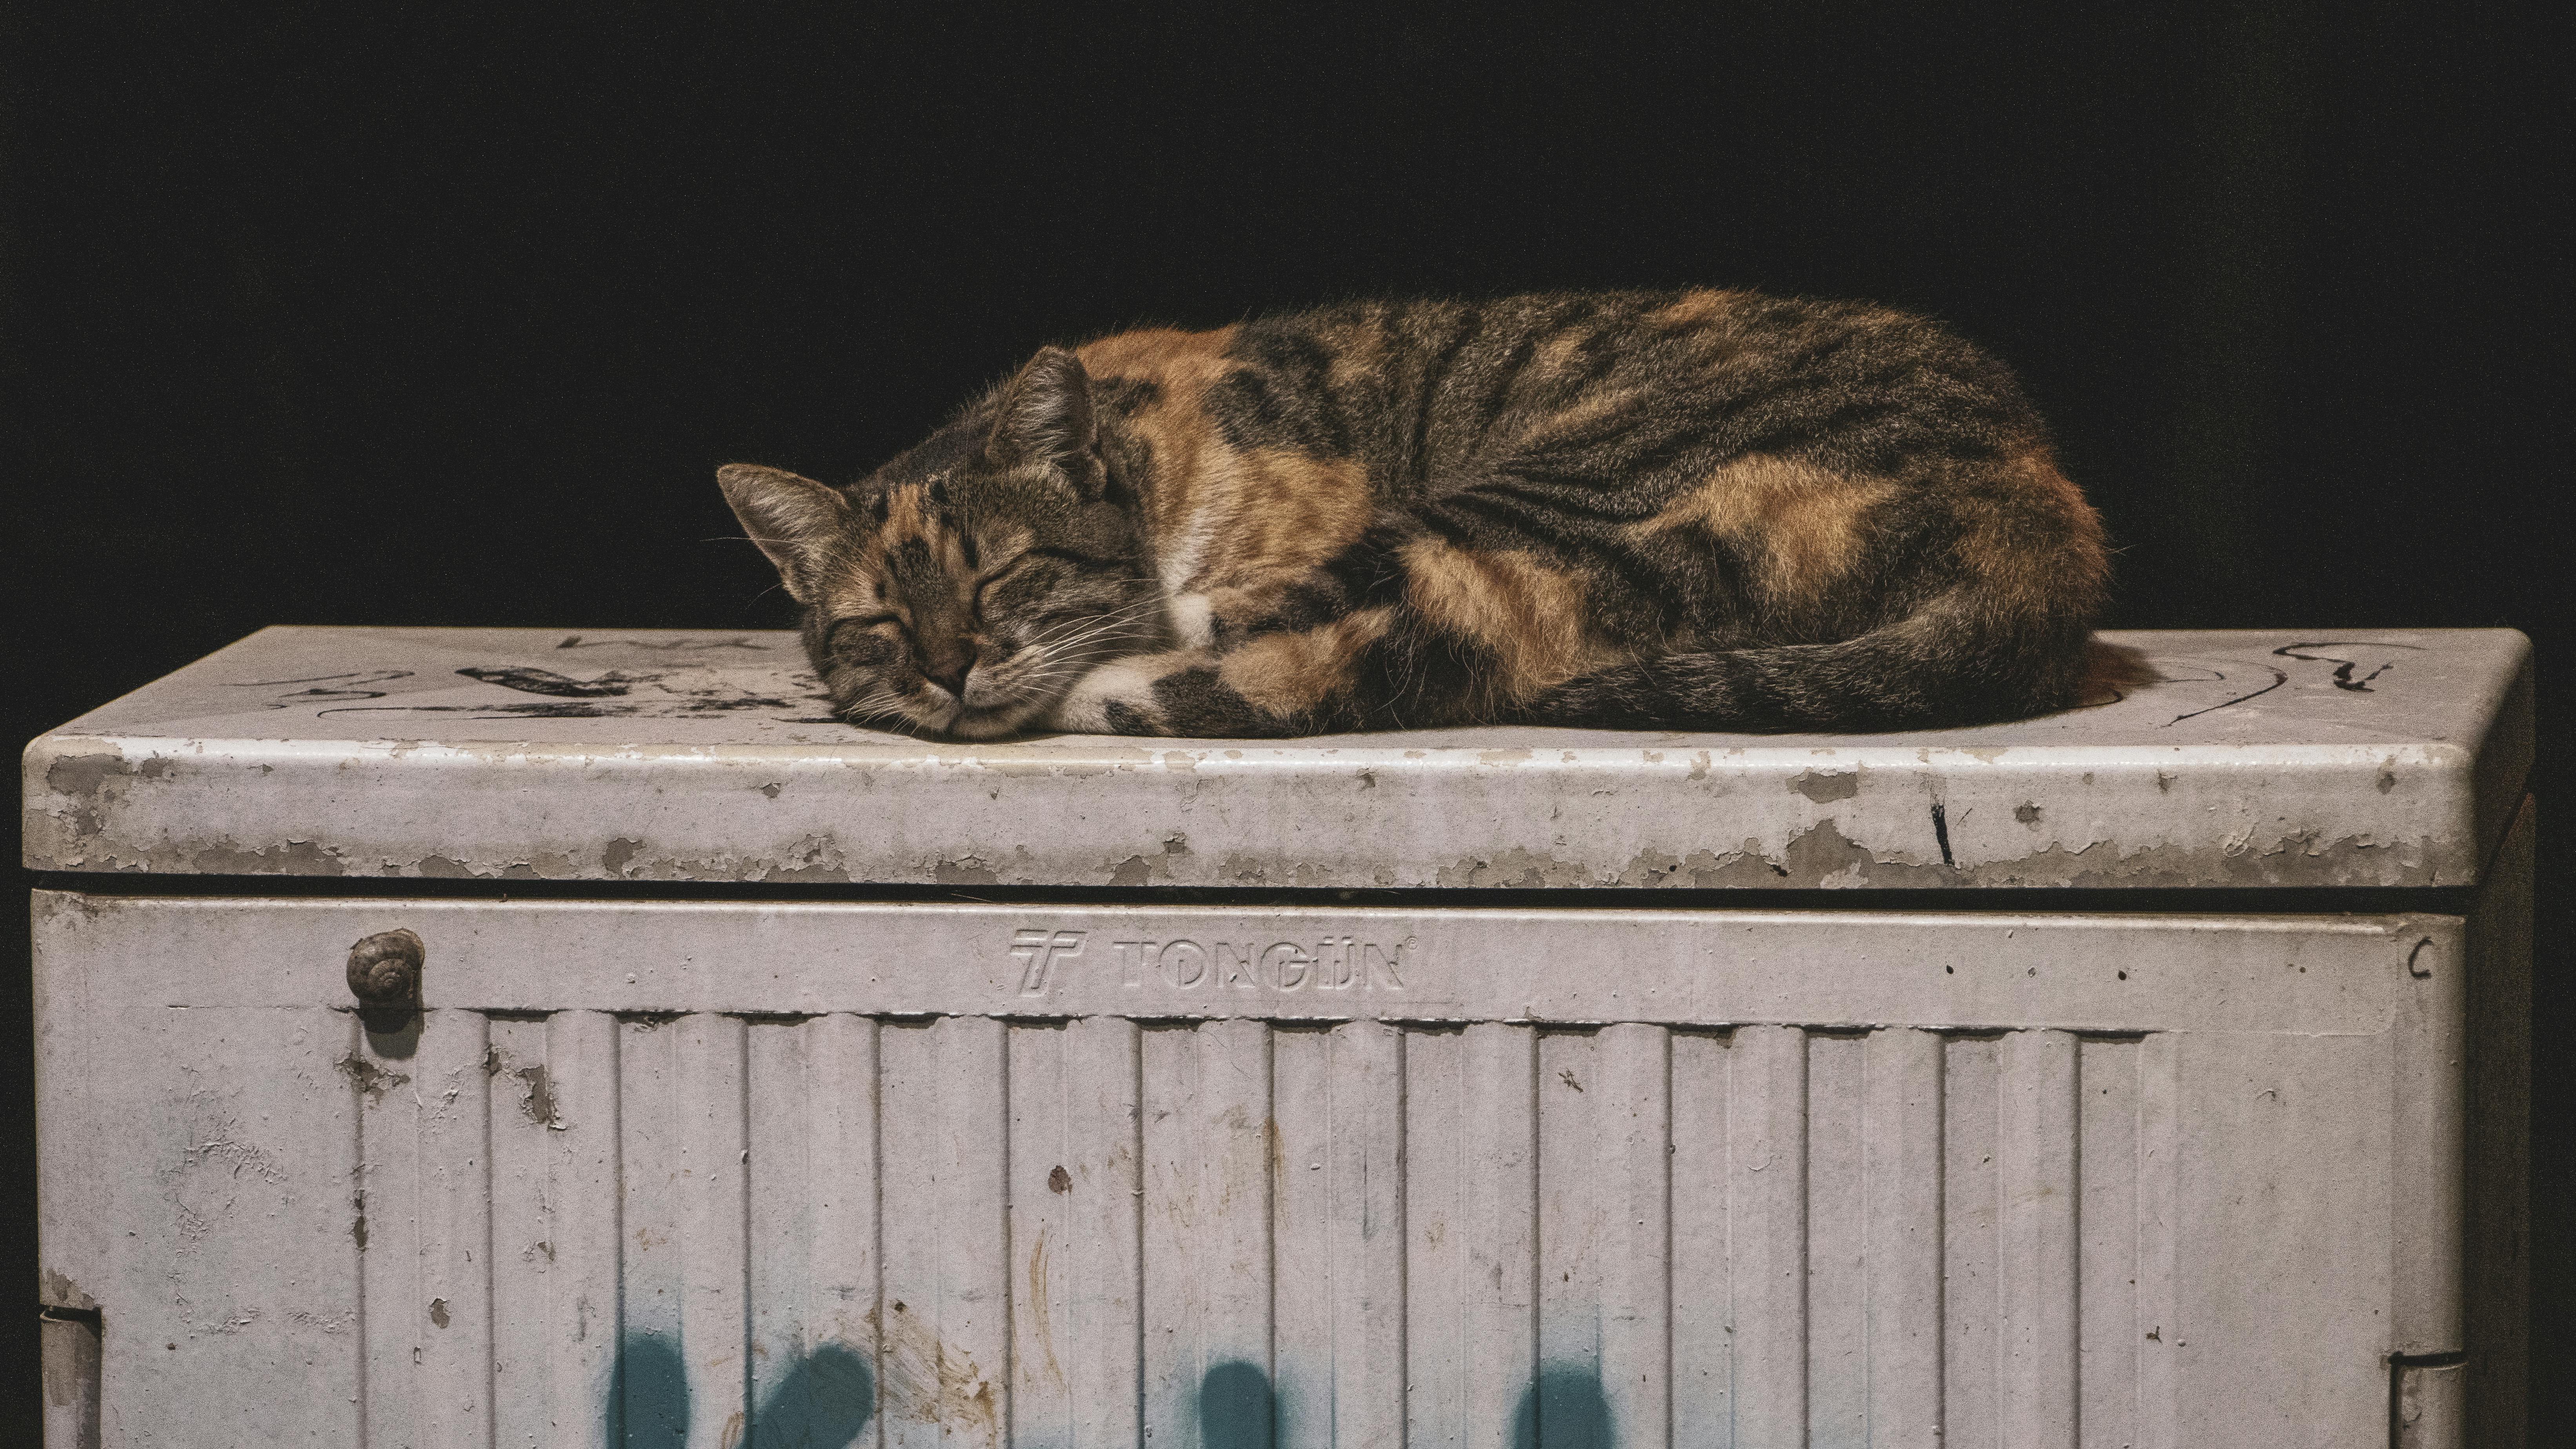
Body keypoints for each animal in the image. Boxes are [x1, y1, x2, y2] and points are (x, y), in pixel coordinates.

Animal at [716, 287, 2102, 736]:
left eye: (1001, 576)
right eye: (877, 622)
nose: (949, 670)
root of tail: (2040, 502)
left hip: (1569, 490)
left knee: (1384, 660)